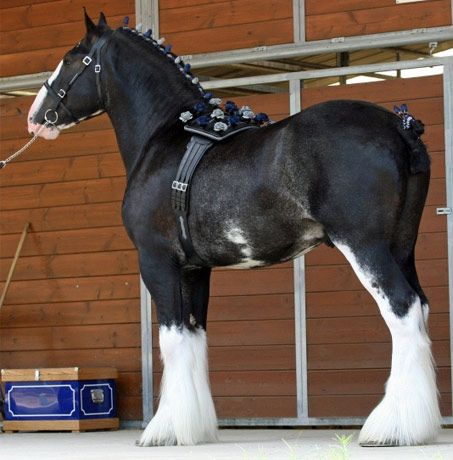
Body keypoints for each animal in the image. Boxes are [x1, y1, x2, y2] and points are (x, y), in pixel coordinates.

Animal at [26, 13, 440, 446]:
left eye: (73, 58)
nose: (35, 117)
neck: (166, 141)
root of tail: (400, 126)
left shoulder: (157, 262)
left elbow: (172, 339)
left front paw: (162, 430)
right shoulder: (195, 269)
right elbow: (194, 337)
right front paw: (194, 427)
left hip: (365, 247)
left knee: (402, 309)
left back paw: (391, 427)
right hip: (401, 246)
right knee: (420, 307)